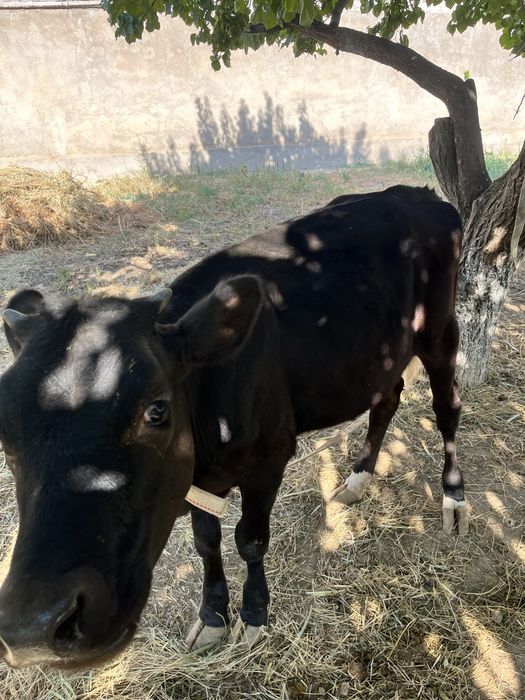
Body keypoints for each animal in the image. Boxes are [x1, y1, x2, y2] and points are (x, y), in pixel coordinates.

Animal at [0, 185, 467, 669]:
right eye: (4, 432)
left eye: (156, 411)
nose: (35, 629)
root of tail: (418, 194)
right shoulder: (199, 476)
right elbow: (206, 541)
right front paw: (212, 615)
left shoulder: (268, 459)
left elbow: (250, 540)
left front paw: (255, 614)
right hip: (383, 352)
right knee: (387, 399)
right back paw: (357, 479)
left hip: (439, 330)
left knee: (447, 406)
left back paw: (454, 498)